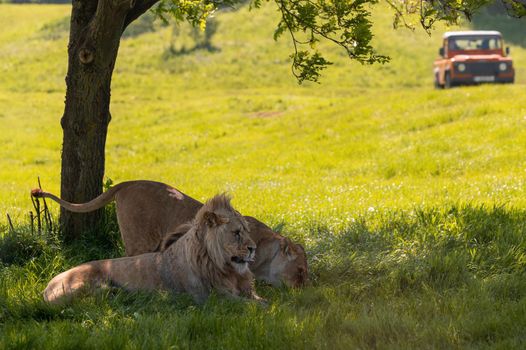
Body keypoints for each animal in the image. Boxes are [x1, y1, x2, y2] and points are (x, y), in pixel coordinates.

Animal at [42, 193, 266, 304]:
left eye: (246, 230)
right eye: (237, 233)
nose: (253, 248)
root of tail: (46, 287)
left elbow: (261, 299)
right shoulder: (211, 297)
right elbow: (252, 305)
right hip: (78, 286)